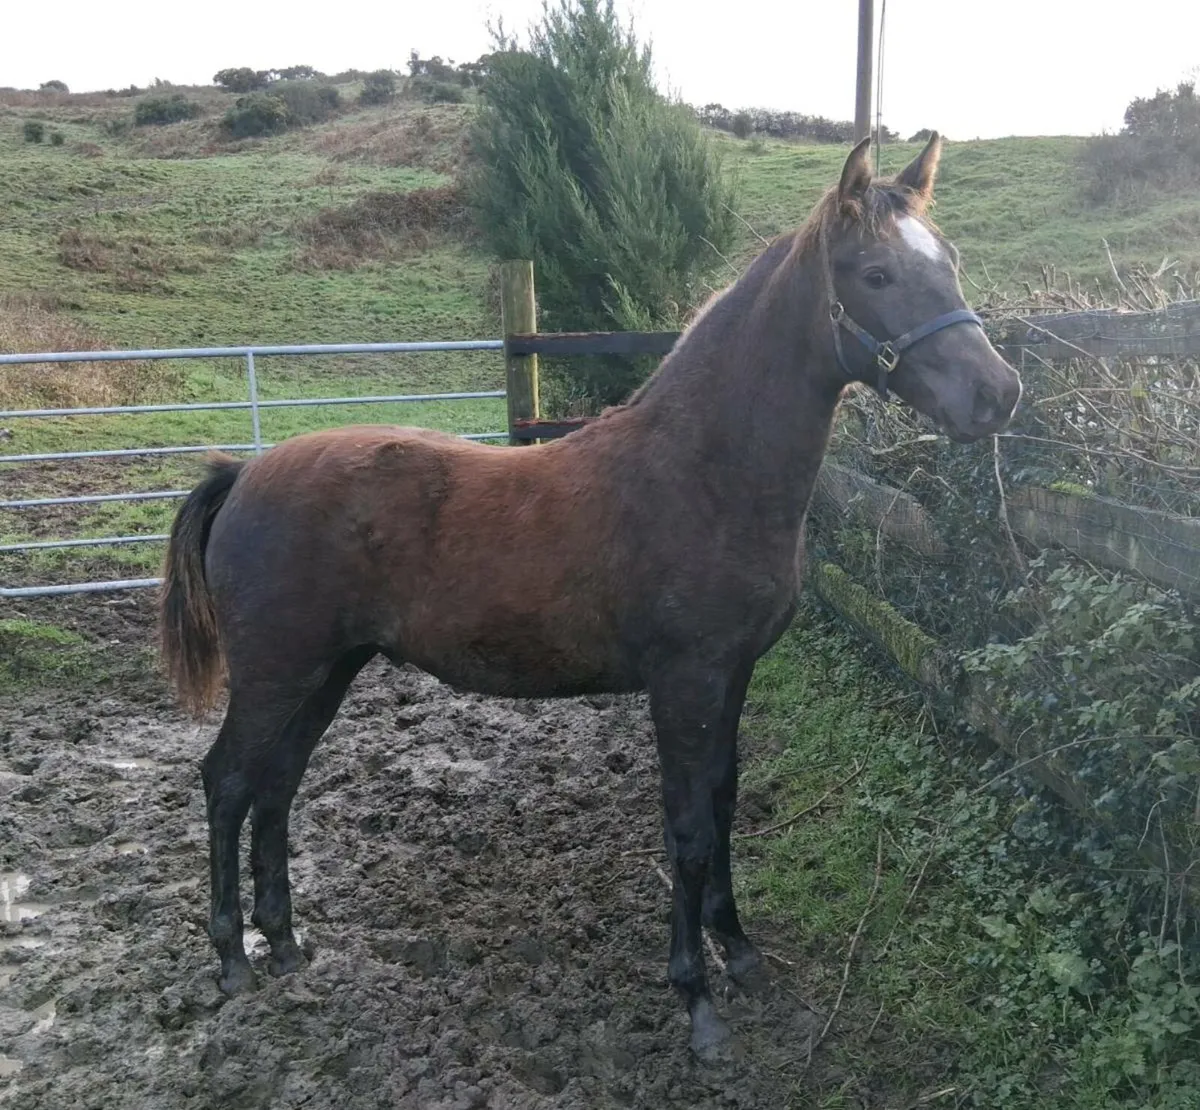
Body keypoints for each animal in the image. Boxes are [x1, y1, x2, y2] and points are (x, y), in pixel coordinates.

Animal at [159, 133, 1022, 1060]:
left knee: (277, 784)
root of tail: (244, 474)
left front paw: (740, 952)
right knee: (228, 782)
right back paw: (232, 959)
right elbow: (686, 826)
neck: (703, 474)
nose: (998, 394)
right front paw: (697, 1003)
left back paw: (284, 943)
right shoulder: (682, 683)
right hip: (276, 672)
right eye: (875, 273)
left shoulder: (732, 675)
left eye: (949, 261)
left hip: (328, 671)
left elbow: (723, 804)